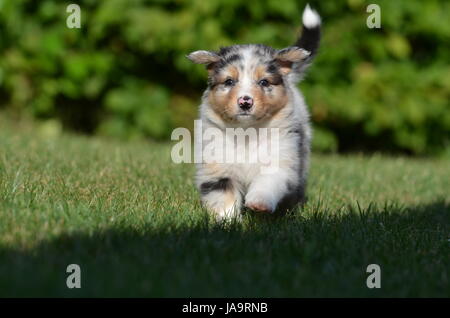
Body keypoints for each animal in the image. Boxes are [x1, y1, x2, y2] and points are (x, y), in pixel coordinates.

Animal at [188, 3, 322, 220]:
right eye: (229, 81)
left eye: (264, 82)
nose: (245, 101)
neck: (246, 132)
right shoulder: (217, 165)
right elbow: (224, 195)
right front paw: (226, 220)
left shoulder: (279, 160)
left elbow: (266, 184)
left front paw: (258, 205)